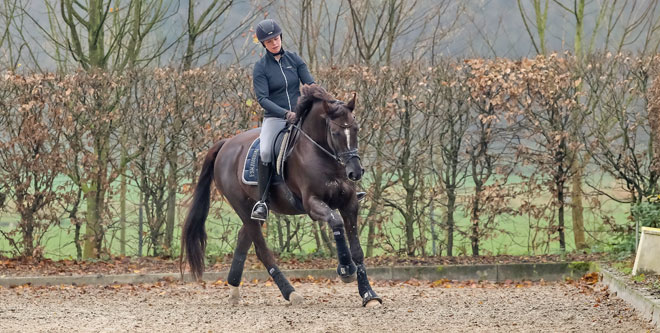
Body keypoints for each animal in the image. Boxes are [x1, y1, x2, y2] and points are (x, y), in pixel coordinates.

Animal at [183, 83, 384, 306]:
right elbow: (336, 222)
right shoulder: (313, 204)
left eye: (356, 129)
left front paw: (369, 294)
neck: (323, 156)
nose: (355, 172)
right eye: (335, 132)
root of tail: (226, 144)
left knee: (243, 240)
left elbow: (357, 249)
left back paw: (234, 289)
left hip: (253, 209)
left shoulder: (349, 203)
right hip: (242, 206)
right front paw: (346, 269)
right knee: (262, 251)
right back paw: (290, 292)